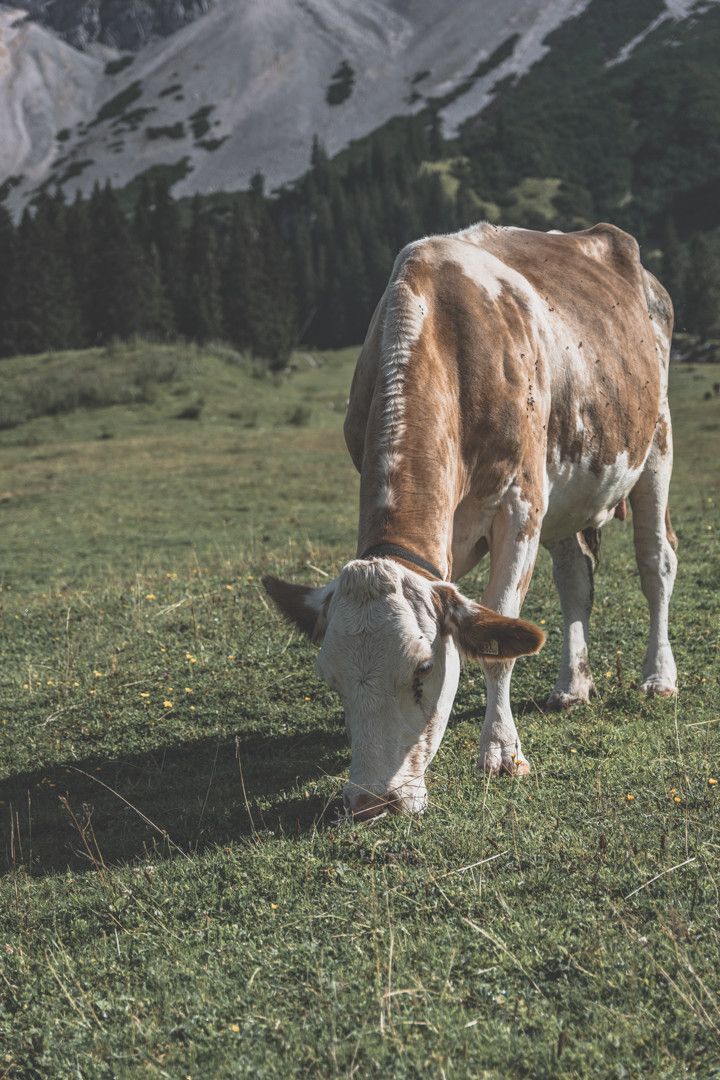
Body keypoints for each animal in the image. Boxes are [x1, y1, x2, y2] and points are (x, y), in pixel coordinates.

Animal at [263, 223, 677, 820]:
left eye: (421, 669)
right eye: (331, 679)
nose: (369, 802)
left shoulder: (521, 505)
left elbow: (498, 636)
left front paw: (501, 750)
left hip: (656, 441)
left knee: (656, 563)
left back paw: (658, 676)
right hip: (569, 489)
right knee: (575, 579)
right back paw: (572, 686)